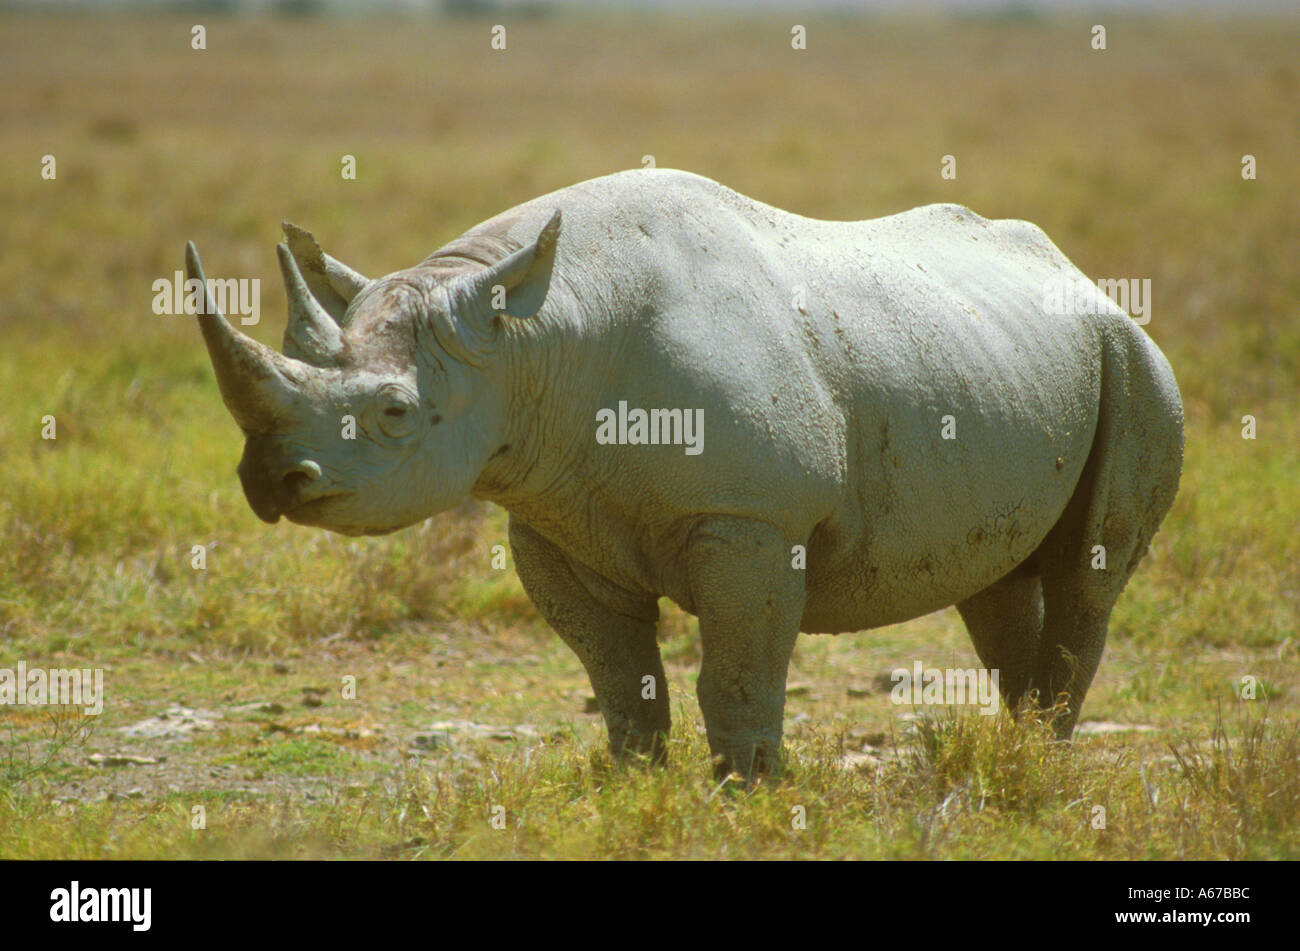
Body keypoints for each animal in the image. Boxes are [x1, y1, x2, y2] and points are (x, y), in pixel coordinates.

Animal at [187, 168, 1183, 780]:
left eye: (395, 412)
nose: (270, 481)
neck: (532, 341)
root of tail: (1078, 274)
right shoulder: (552, 517)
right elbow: (621, 680)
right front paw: (638, 784)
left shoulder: (749, 518)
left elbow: (736, 675)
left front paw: (752, 792)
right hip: (1001, 358)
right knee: (997, 579)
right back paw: (1020, 752)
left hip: (1136, 359)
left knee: (1088, 572)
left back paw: (1043, 761)